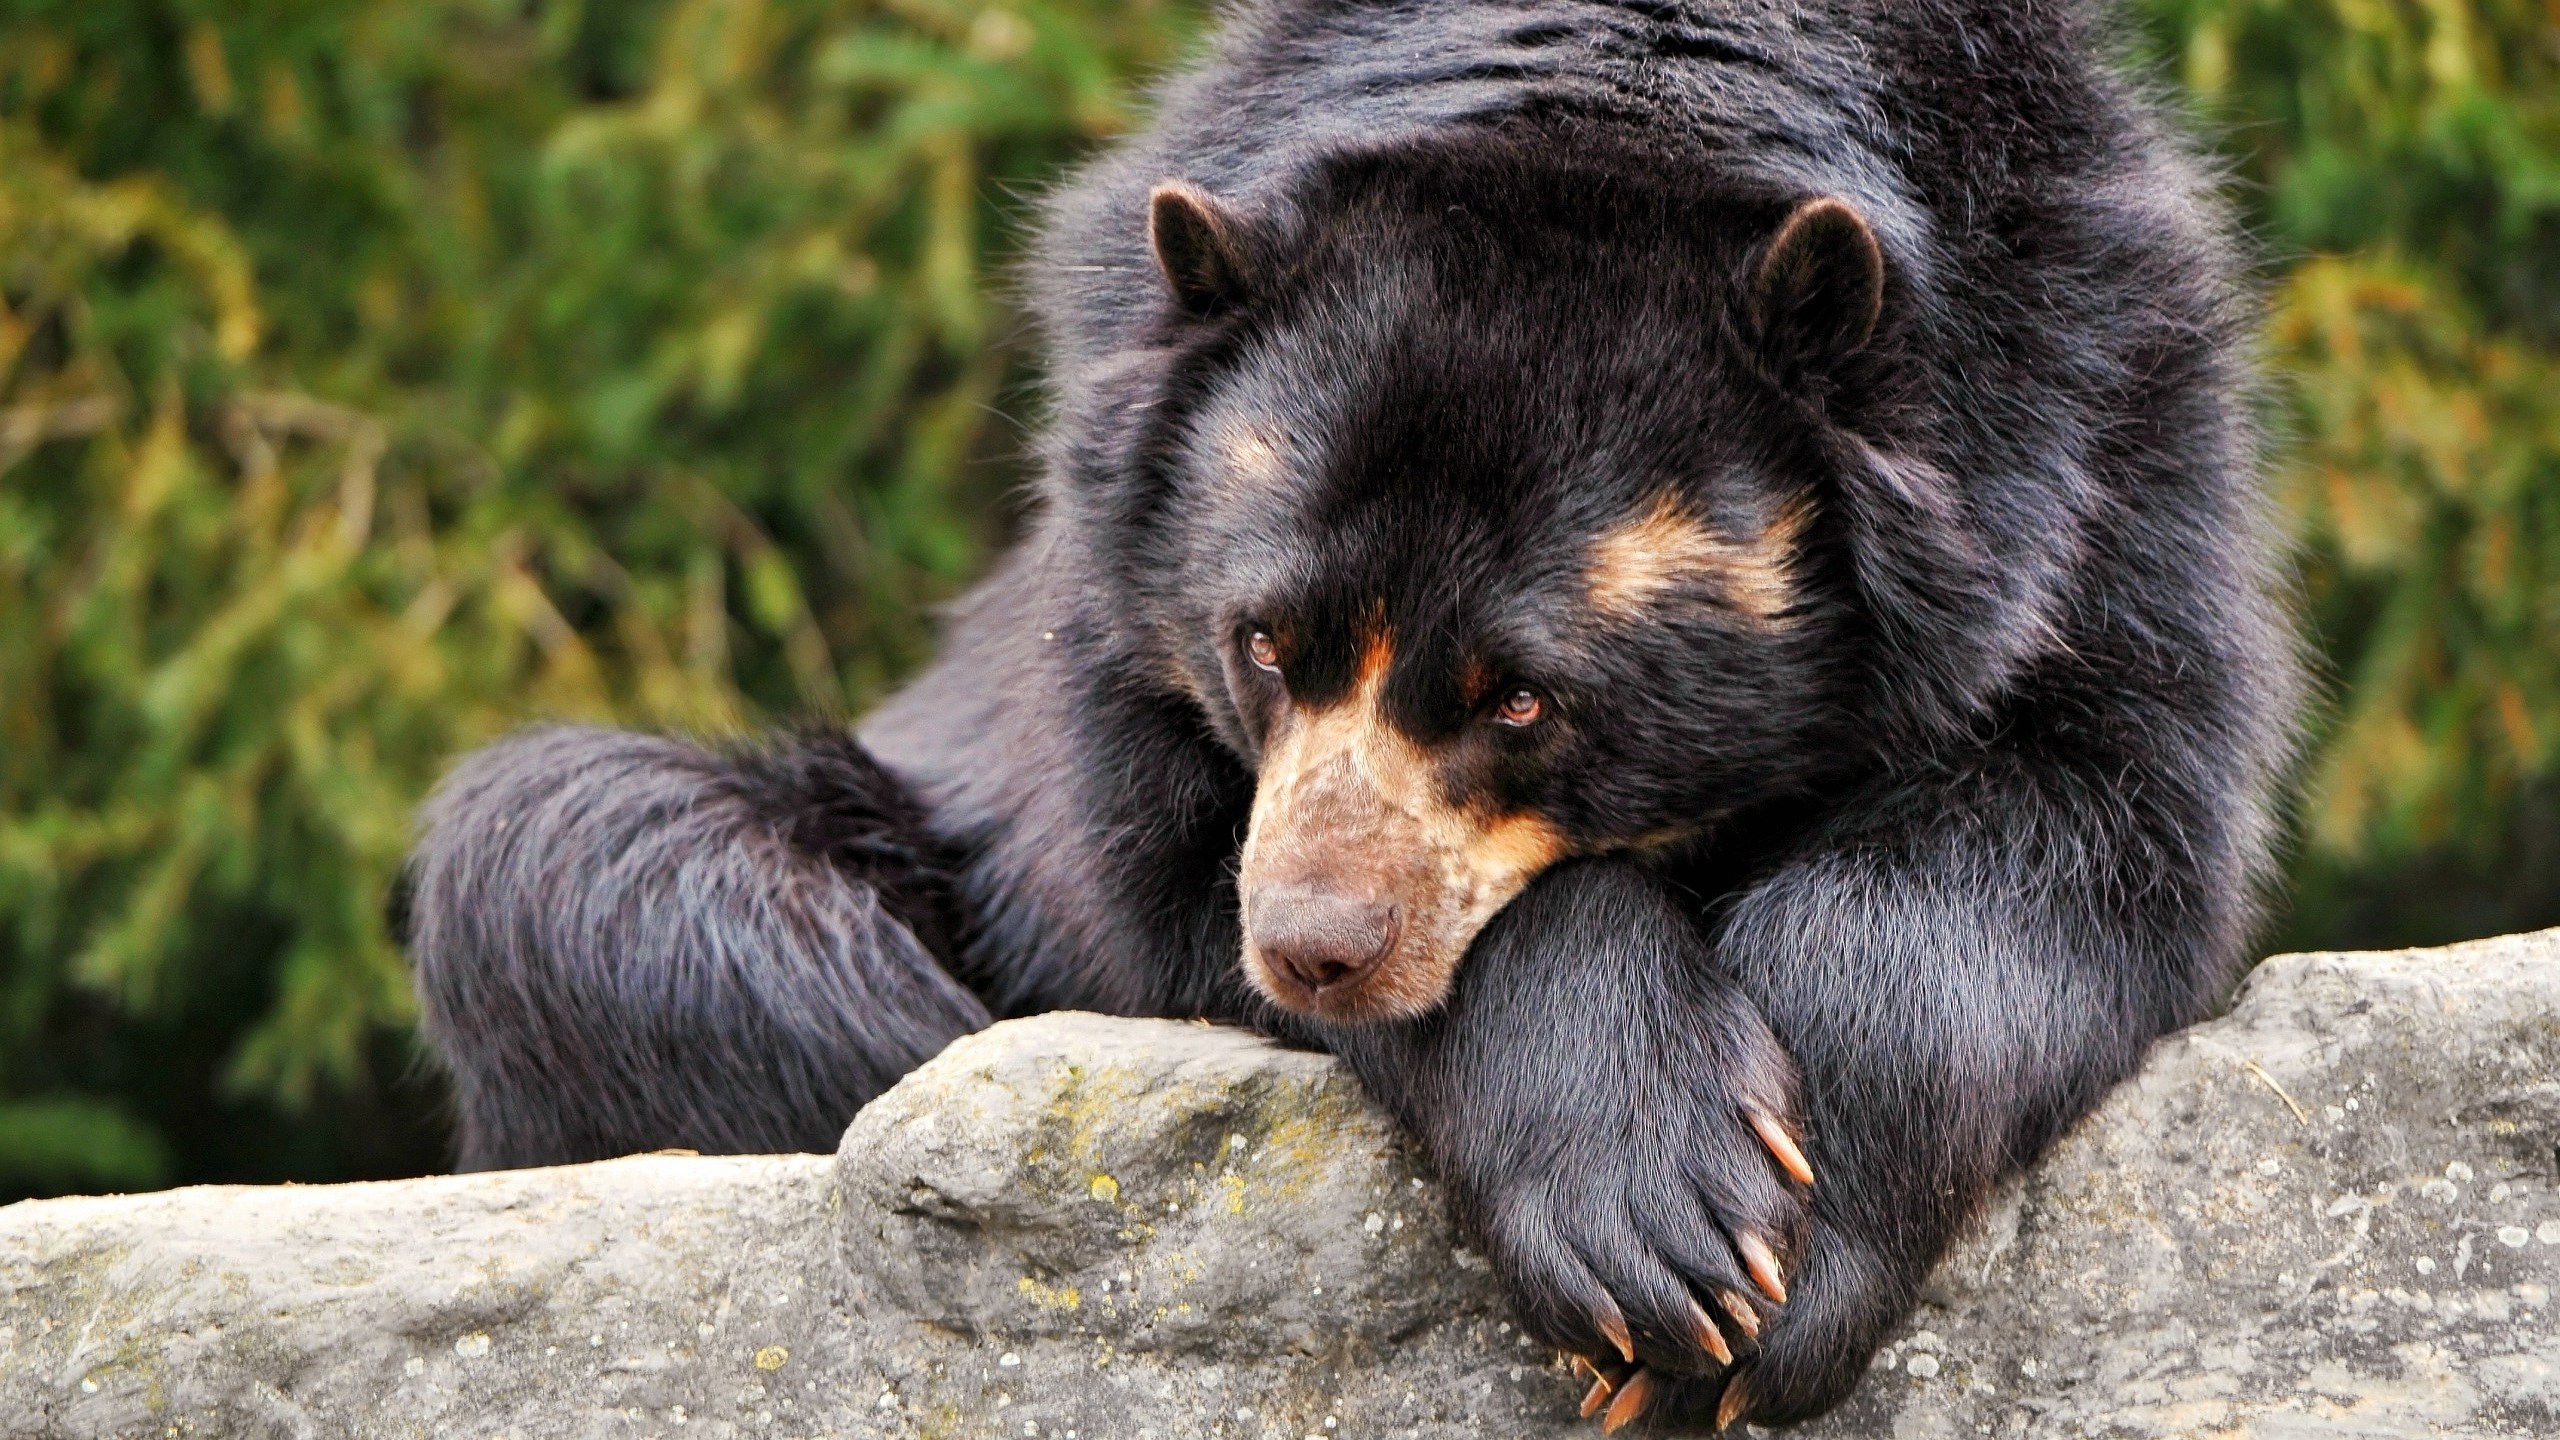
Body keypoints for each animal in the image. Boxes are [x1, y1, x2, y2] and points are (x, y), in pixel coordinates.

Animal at [398, 0, 2301, 1427]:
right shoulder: (1113, 604)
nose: (1315, 944)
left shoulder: (2105, 443)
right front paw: (1662, 1231)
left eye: (1522, 696)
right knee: (576, 867)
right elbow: (1165, 879)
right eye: (1263, 643)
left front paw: (1772, 1276)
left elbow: (2091, 817)